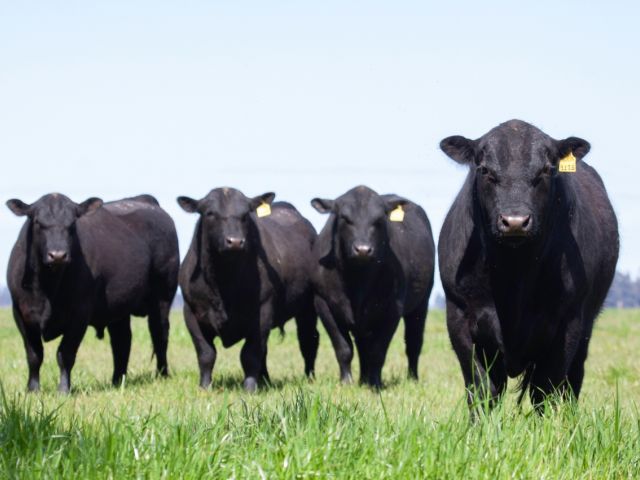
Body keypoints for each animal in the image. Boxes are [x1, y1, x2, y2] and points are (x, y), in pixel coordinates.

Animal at [6, 193, 179, 393]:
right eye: (37, 222)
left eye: (72, 224)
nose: (58, 255)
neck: (47, 288)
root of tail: (146, 200)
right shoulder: (21, 314)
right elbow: (34, 355)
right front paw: (32, 390)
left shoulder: (80, 314)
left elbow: (65, 353)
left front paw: (63, 389)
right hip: (118, 307)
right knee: (122, 341)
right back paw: (117, 380)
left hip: (163, 296)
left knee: (159, 334)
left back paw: (162, 374)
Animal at [177, 187, 319, 392]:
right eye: (210, 213)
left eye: (245, 214)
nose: (235, 241)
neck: (224, 281)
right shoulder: (191, 312)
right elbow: (206, 353)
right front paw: (204, 387)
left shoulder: (262, 312)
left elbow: (250, 354)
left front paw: (249, 388)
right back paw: (265, 380)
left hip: (309, 306)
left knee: (308, 340)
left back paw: (309, 378)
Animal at [311, 185, 435, 388]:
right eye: (345, 218)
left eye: (379, 219)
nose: (363, 249)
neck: (357, 281)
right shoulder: (323, 303)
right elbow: (344, 348)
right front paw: (346, 382)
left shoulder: (392, 309)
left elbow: (378, 352)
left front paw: (376, 383)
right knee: (362, 346)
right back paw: (363, 379)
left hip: (422, 302)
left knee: (414, 343)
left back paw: (412, 379)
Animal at [438, 119, 619, 411]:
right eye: (485, 170)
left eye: (546, 169)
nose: (515, 221)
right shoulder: (459, 316)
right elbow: (481, 388)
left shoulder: (568, 322)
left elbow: (545, 389)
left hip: (586, 327)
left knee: (572, 380)